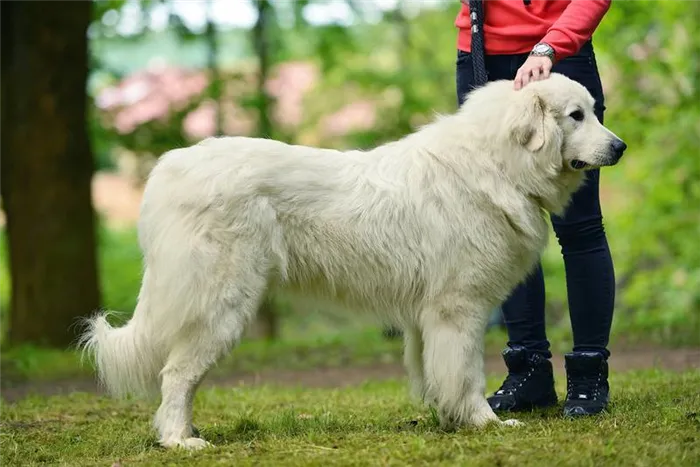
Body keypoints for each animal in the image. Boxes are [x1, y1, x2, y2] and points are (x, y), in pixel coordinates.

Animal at [79, 72, 628, 450]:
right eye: (576, 116)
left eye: (594, 111)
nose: (620, 147)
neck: (498, 164)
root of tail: (169, 170)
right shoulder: (459, 309)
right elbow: (466, 373)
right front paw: (484, 423)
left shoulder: (429, 318)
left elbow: (436, 373)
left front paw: (446, 419)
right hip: (222, 304)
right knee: (176, 374)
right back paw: (180, 439)